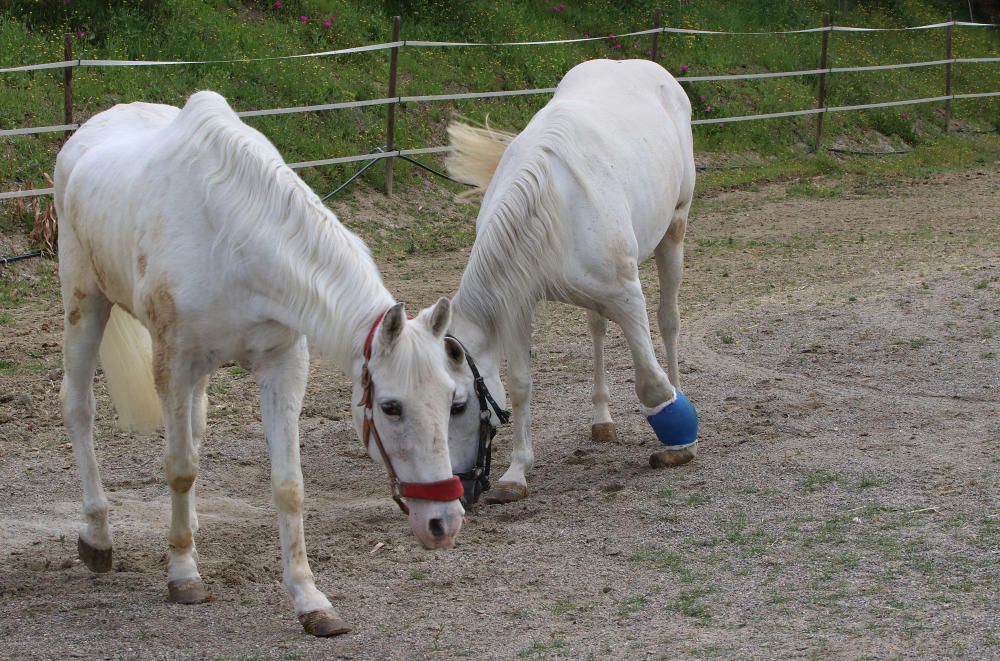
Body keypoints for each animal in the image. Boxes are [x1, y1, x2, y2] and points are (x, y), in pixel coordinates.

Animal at [58, 90, 468, 636]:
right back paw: (98, 535)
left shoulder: (281, 366)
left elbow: (287, 486)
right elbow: (180, 467)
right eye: (390, 407)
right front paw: (183, 574)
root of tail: (86, 133)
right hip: (86, 302)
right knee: (80, 408)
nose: (444, 523)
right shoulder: (174, 364)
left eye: (452, 401)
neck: (232, 235)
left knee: (194, 427)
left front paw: (310, 600)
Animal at [442, 60, 700, 506]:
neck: (546, 198)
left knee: (669, 320)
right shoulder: (517, 300)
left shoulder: (627, 295)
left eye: (458, 406)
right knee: (597, 328)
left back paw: (678, 391)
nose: (462, 489)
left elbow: (651, 383)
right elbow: (521, 385)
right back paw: (602, 420)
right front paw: (516, 473)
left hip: (675, 230)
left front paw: (679, 440)